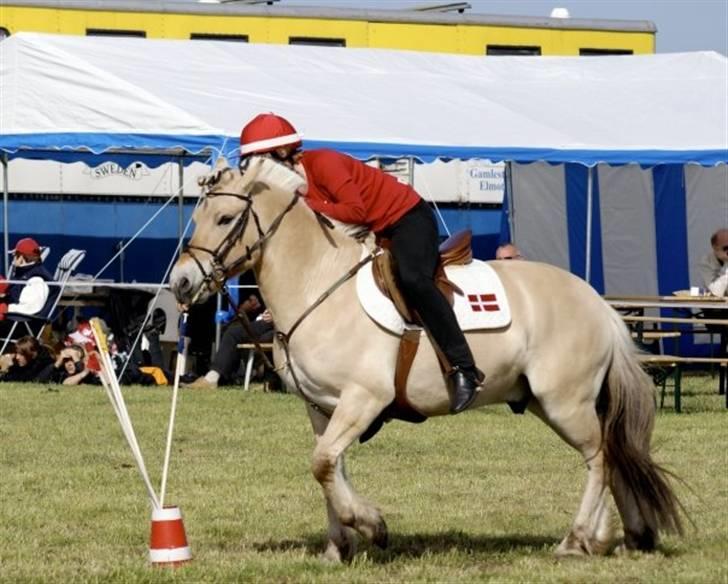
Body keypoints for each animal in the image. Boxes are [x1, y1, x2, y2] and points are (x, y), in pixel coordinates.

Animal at [171, 155, 684, 560]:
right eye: (195, 218)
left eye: (224, 219)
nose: (180, 283)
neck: (318, 283)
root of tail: (597, 302)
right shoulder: (323, 408)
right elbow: (329, 466)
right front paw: (339, 545)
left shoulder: (363, 399)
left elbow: (322, 465)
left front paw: (372, 526)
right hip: (550, 401)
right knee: (613, 455)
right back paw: (622, 536)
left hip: (566, 402)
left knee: (600, 457)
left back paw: (578, 540)